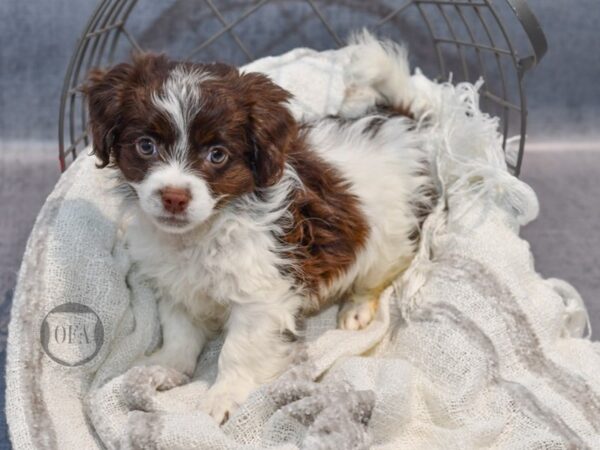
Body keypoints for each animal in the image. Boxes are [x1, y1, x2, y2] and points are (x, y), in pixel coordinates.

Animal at [85, 51, 432, 422]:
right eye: (146, 146)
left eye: (217, 154)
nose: (174, 197)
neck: (205, 230)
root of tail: (400, 121)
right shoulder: (175, 287)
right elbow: (179, 331)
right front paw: (166, 367)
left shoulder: (261, 297)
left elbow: (238, 350)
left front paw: (222, 396)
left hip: (389, 240)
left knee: (379, 275)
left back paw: (356, 308)